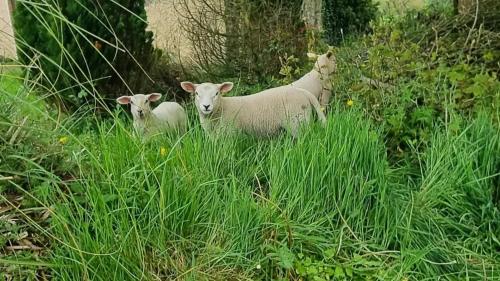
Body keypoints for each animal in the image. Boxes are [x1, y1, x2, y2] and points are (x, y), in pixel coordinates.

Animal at [182, 81, 326, 137]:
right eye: (196, 93)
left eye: (217, 93)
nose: (206, 106)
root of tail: (303, 92)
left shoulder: (229, 134)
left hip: (298, 122)